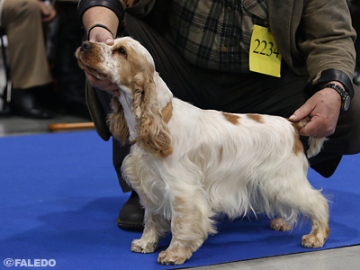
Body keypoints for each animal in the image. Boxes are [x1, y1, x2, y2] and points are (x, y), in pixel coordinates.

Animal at [75, 37, 330, 264]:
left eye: (121, 51)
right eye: (109, 42)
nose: (85, 44)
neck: (161, 117)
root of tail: (291, 124)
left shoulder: (182, 189)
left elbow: (180, 223)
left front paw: (173, 254)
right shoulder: (151, 183)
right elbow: (151, 218)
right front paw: (145, 243)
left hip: (283, 181)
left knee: (317, 201)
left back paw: (316, 236)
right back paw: (283, 223)